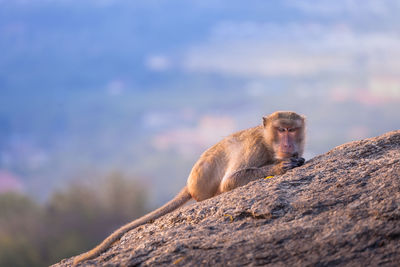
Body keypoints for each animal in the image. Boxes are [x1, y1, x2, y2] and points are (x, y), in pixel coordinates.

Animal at [72, 111, 304, 266]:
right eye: (281, 130)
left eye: (292, 130)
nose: (288, 144)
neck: (268, 142)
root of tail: (190, 185)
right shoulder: (255, 147)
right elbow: (231, 181)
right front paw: (281, 166)